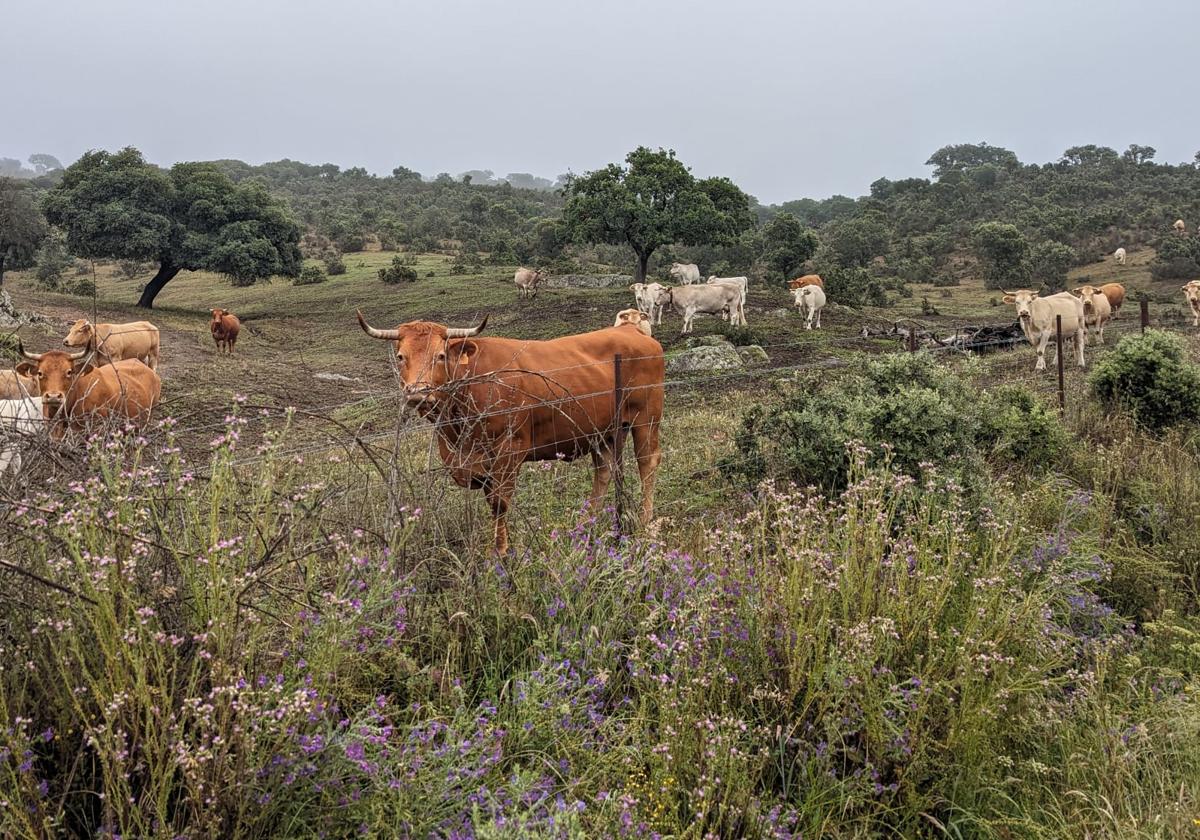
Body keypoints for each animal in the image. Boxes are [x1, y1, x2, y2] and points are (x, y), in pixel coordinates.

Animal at [360, 309, 672, 552]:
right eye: (401, 356)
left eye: (440, 356)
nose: (418, 394)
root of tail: (633, 331)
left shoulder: (508, 451)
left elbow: (500, 503)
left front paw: (500, 554)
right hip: (602, 430)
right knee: (604, 470)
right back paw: (585, 527)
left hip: (646, 418)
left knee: (647, 462)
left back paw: (645, 522)